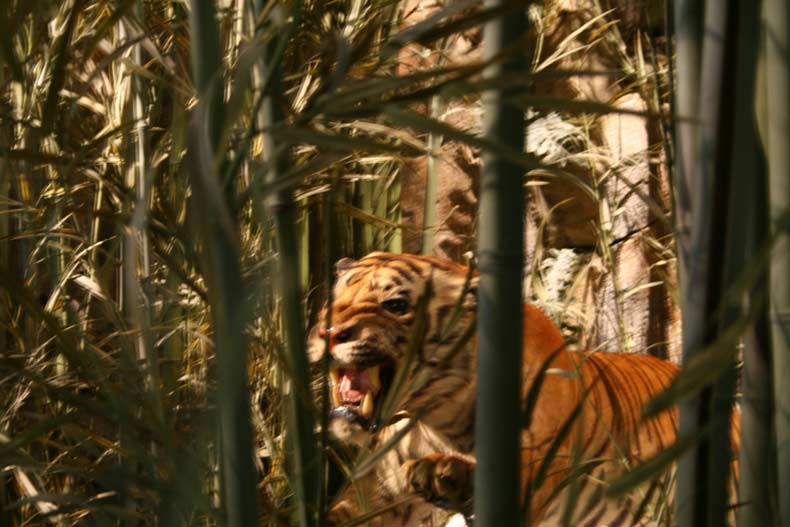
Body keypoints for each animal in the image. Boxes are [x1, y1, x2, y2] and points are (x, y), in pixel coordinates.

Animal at [310, 254, 744, 524]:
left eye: (396, 305)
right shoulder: (375, 496)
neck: (439, 416)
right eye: (334, 299)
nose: (328, 332)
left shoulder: (527, 479)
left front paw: (444, 472)